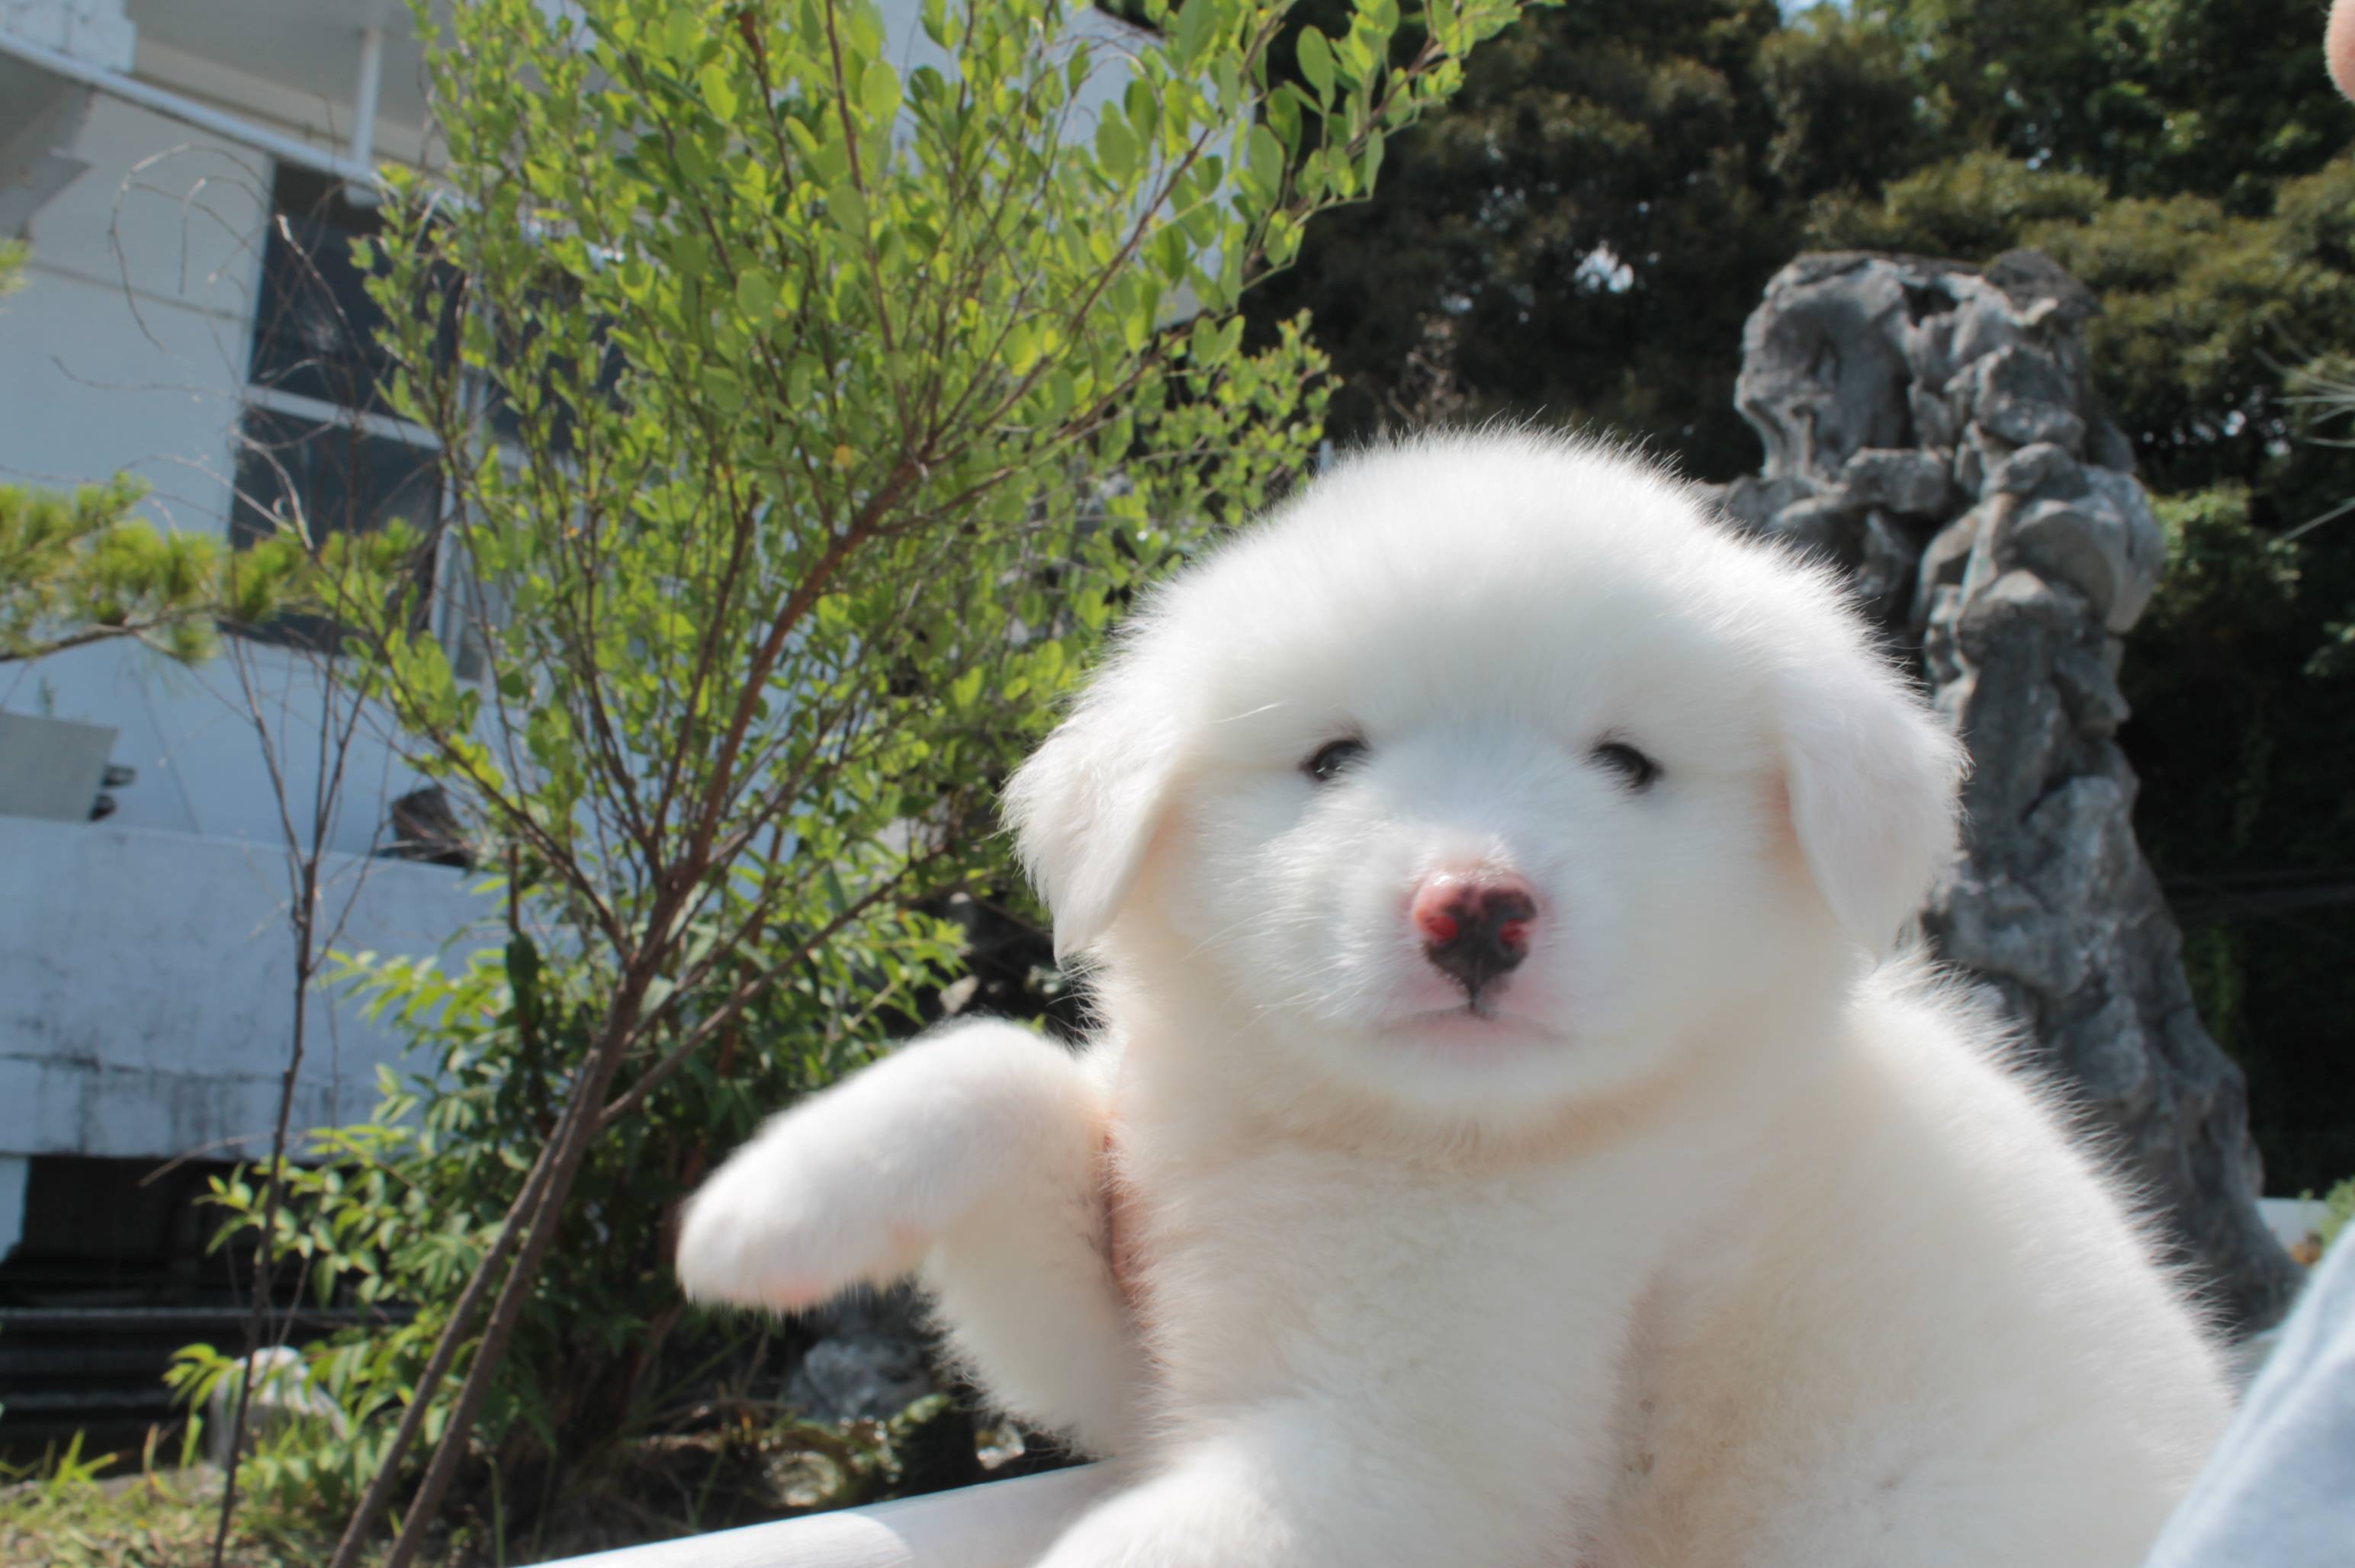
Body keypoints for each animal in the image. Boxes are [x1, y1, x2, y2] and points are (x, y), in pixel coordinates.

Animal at [677, 432, 2233, 1566]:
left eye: (1625, 763)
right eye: (1330, 758)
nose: (1474, 909)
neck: (1407, 1146)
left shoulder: (1403, 1461)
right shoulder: (1145, 1354)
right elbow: (1004, 1072)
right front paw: (771, 1204)